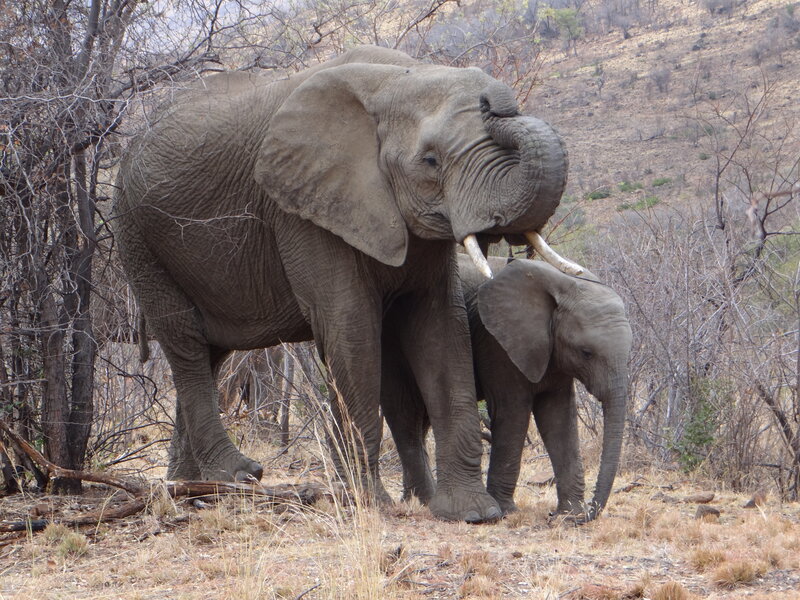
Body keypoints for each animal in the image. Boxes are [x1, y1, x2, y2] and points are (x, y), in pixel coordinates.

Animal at [112, 45, 572, 523]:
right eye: (430, 161)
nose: (493, 101)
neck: (398, 78)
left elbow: (441, 327)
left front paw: (472, 514)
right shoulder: (303, 209)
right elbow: (350, 325)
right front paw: (371, 504)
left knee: (210, 353)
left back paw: (191, 490)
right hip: (138, 235)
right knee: (185, 343)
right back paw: (238, 475)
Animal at [383, 254, 632, 522]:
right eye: (586, 353)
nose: (588, 512)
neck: (563, 281)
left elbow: (560, 417)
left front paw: (569, 515)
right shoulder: (497, 344)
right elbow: (512, 412)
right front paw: (505, 511)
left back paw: (414, 501)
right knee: (405, 411)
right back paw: (419, 502)